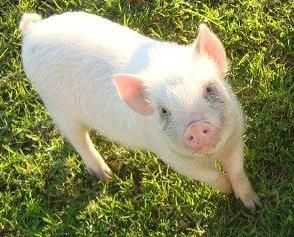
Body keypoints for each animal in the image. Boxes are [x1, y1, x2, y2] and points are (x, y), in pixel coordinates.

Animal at [19, 11, 260, 211]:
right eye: (163, 111)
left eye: (209, 88)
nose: (196, 126)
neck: (211, 154)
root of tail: (33, 30)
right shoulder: (173, 157)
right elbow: (210, 176)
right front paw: (228, 192)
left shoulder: (235, 136)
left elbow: (237, 170)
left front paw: (253, 206)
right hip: (57, 107)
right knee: (79, 140)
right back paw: (106, 176)